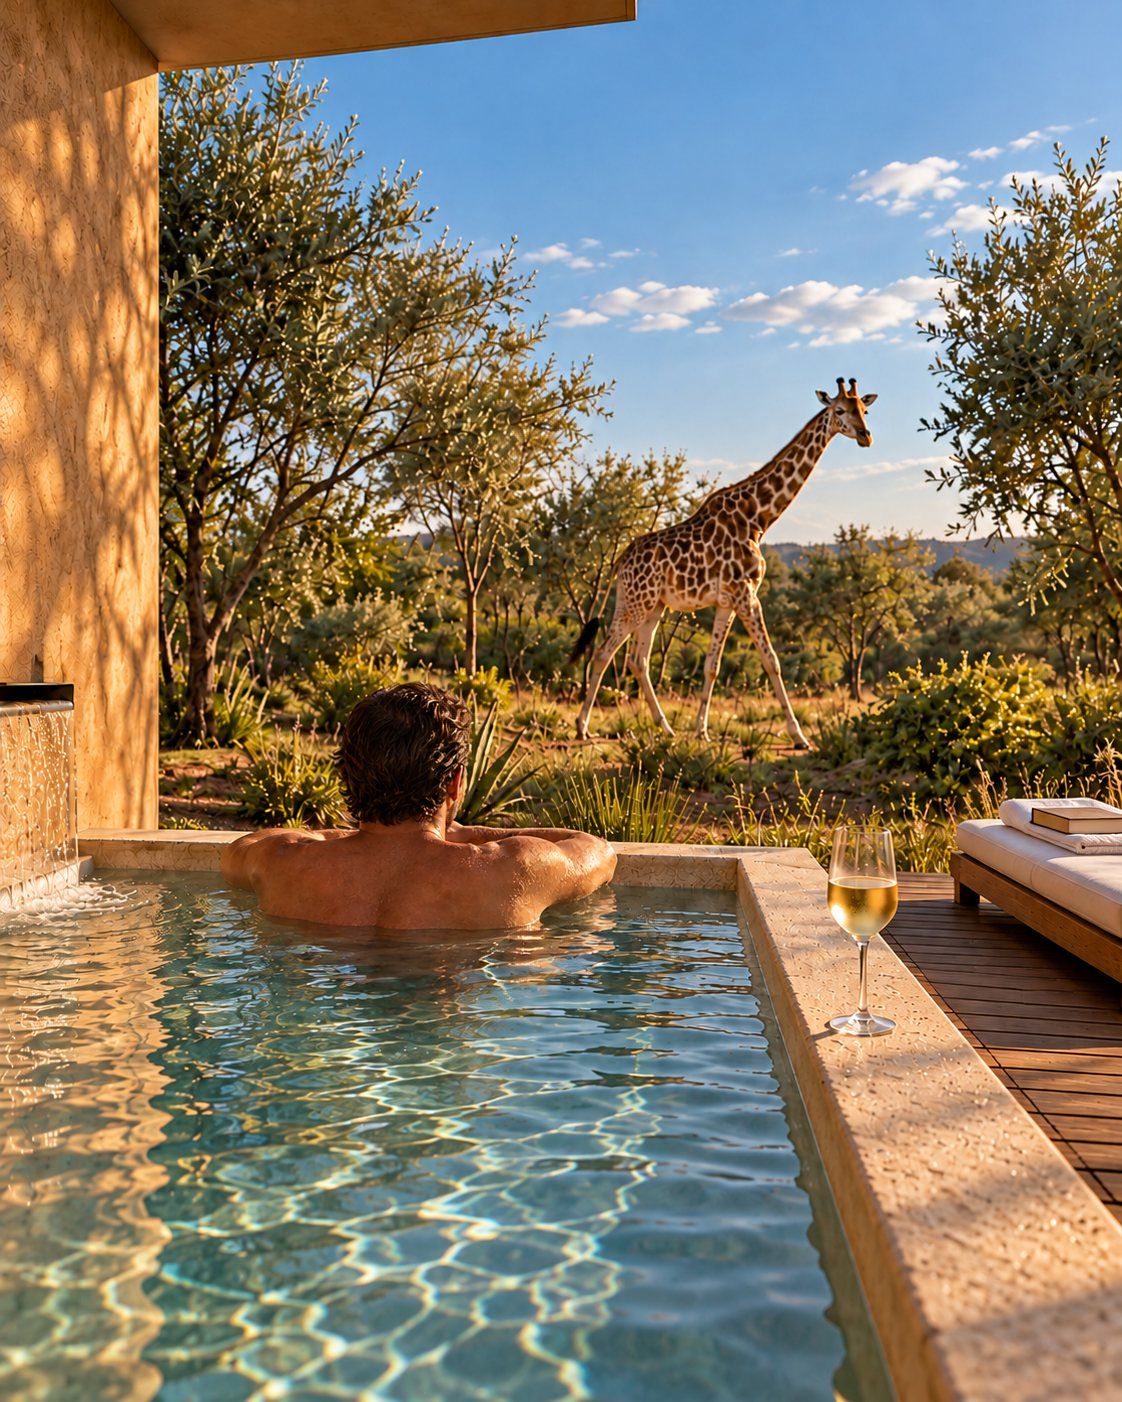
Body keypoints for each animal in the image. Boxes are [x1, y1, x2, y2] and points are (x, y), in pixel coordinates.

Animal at [573, 377, 878, 747]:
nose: (865, 436)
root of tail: (621, 560)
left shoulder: (726, 601)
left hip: (652, 605)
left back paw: (666, 728)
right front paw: (799, 736)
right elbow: (772, 661)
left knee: (638, 660)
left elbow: (712, 665)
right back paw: (582, 727)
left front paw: (701, 730)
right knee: (604, 652)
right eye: (839, 410)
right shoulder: (747, 595)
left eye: (864, 410)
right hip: (636, 603)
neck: (759, 518)